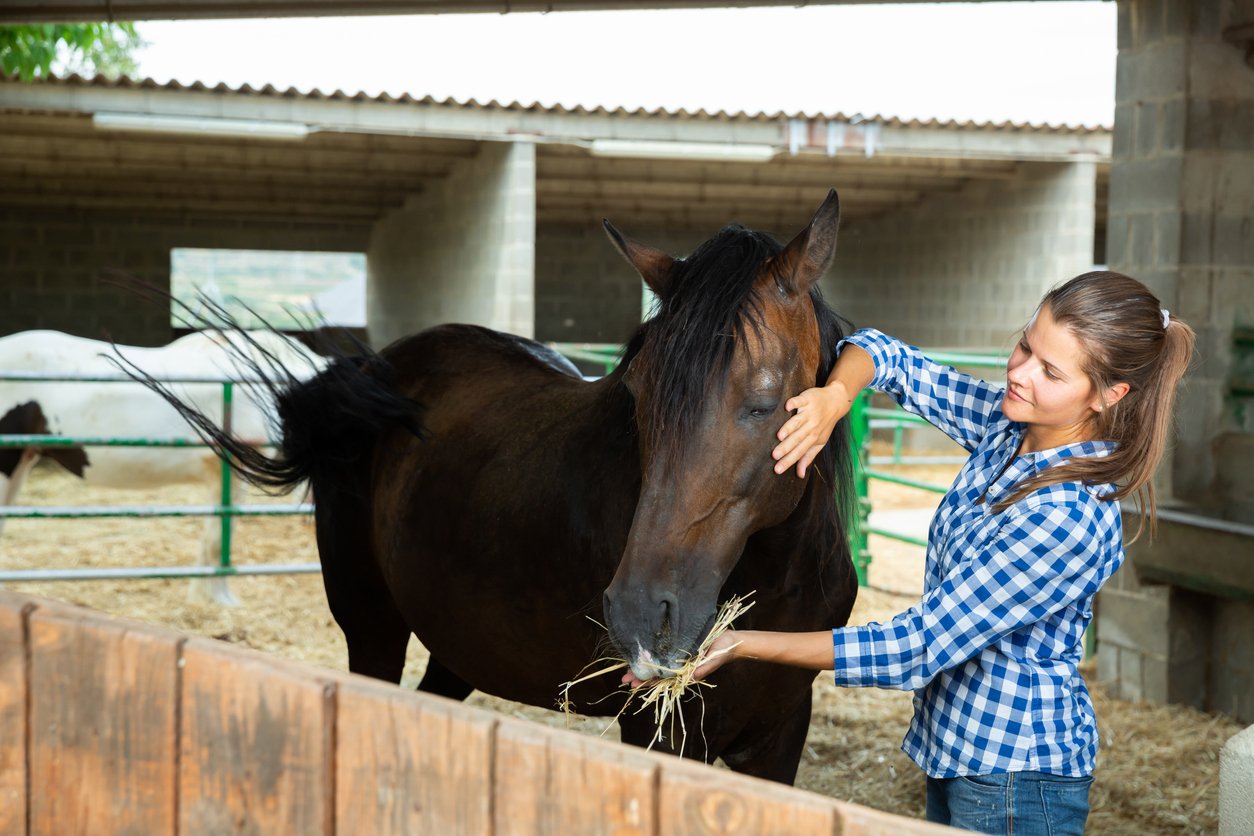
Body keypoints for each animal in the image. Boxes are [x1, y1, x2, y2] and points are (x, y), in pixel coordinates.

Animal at [132, 189, 860, 783]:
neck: (780, 578)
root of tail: (373, 373)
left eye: (764, 403)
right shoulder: (661, 736)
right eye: (637, 395)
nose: (638, 617)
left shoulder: (778, 737)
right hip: (371, 625)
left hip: (458, 643)